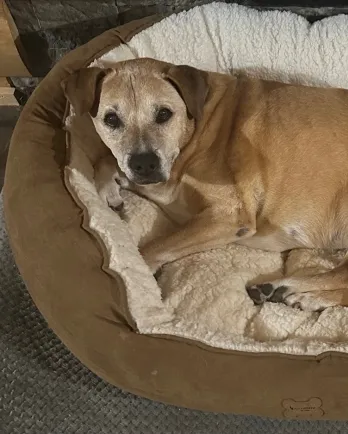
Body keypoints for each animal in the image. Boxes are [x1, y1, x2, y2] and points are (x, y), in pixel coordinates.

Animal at [63, 57, 348, 312]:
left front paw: (143, 279)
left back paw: (294, 291)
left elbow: (152, 248)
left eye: (164, 114)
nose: (144, 164)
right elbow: (106, 159)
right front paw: (106, 189)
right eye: (111, 119)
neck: (195, 127)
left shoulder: (228, 216)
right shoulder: (163, 188)